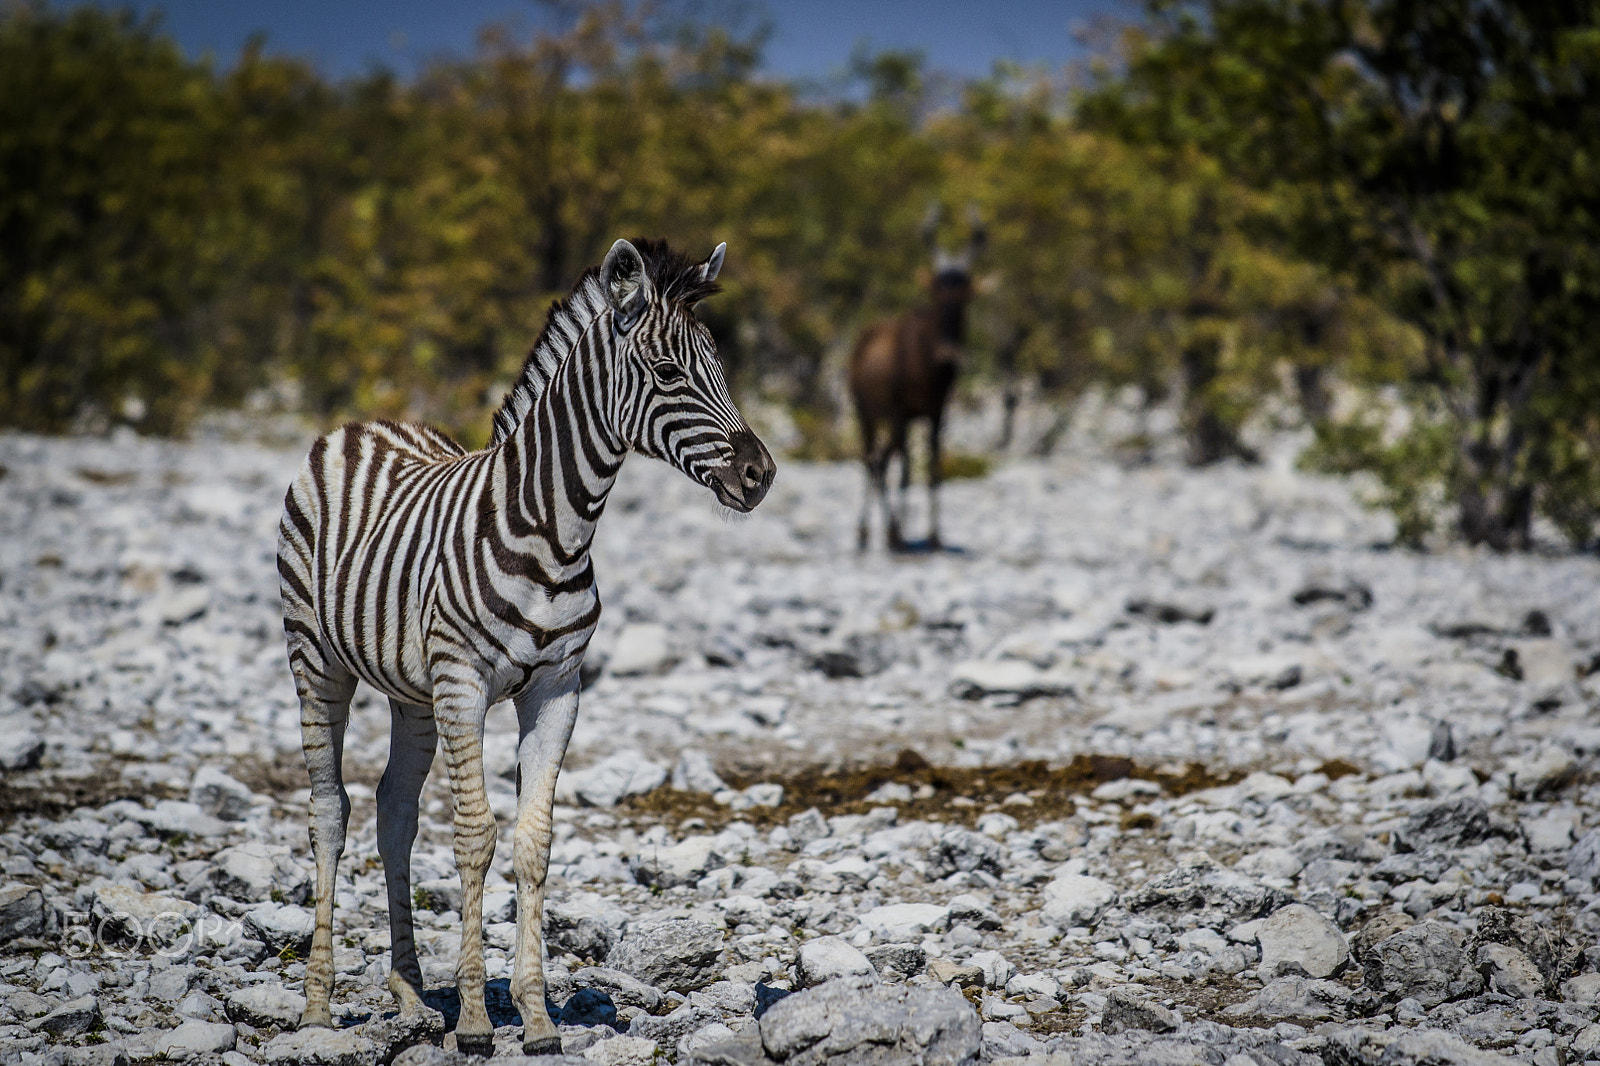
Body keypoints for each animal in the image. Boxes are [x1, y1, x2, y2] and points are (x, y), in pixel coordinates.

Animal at [276, 238, 775, 1055]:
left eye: (722, 370)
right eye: (669, 372)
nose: (761, 476)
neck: (557, 529)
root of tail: (366, 423)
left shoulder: (557, 687)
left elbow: (533, 841)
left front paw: (537, 1019)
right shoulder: (464, 681)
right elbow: (476, 834)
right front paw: (479, 1021)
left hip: (414, 694)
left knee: (394, 811)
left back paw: (410, 995)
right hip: (317, 661)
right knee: (330, 812)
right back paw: (319, 1005)